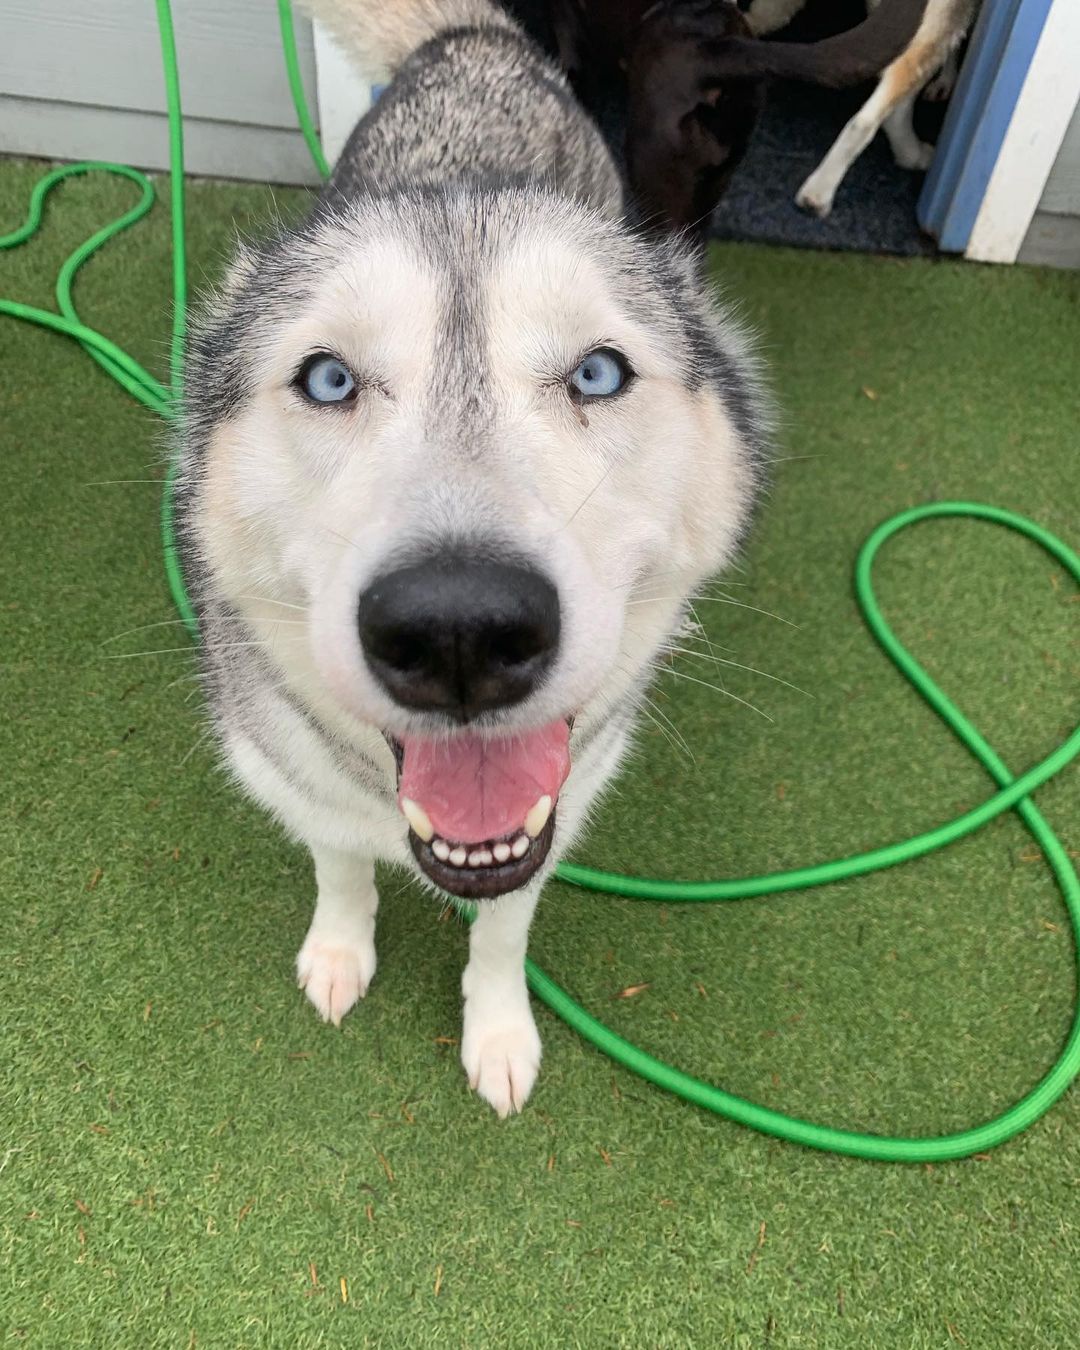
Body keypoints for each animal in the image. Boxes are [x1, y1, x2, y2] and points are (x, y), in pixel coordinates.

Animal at [175, 0, 766, 1117]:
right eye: (327, 380)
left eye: (596, 373)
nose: (460, 631)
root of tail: (476, 38)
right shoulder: (297, 785)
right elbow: (340, 869)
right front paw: (340, 950)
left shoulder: (555, 817)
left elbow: (502, 932)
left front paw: (496, 1032)